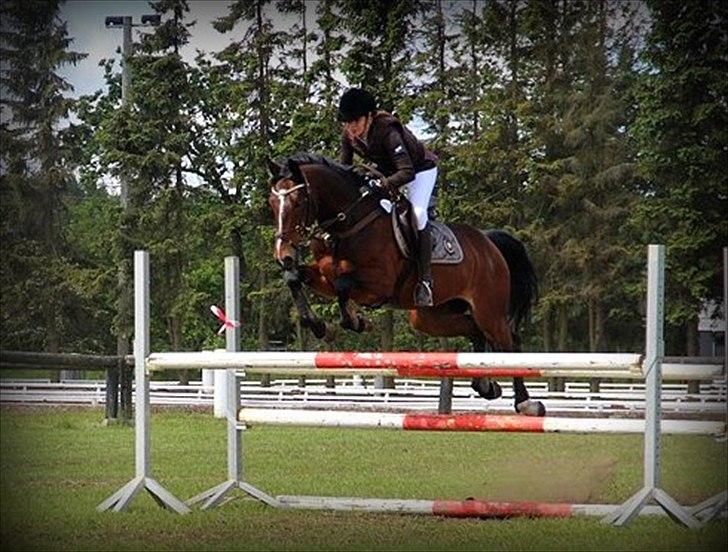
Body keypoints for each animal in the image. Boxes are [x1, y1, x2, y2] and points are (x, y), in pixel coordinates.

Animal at [268, 153, 544, 416]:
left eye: (298, 202)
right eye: (272, 203)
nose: (284, 255)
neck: (348, 222)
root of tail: (488, 243)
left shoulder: (379, 284)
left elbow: (344, 286)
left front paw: (357, 321)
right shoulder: (325, 277)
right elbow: (295, 279)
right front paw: (321, 326)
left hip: (489, 309)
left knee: (509, 341)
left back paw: (526, 403)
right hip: (429, 317)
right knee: (475, 330)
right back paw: (486, 386)